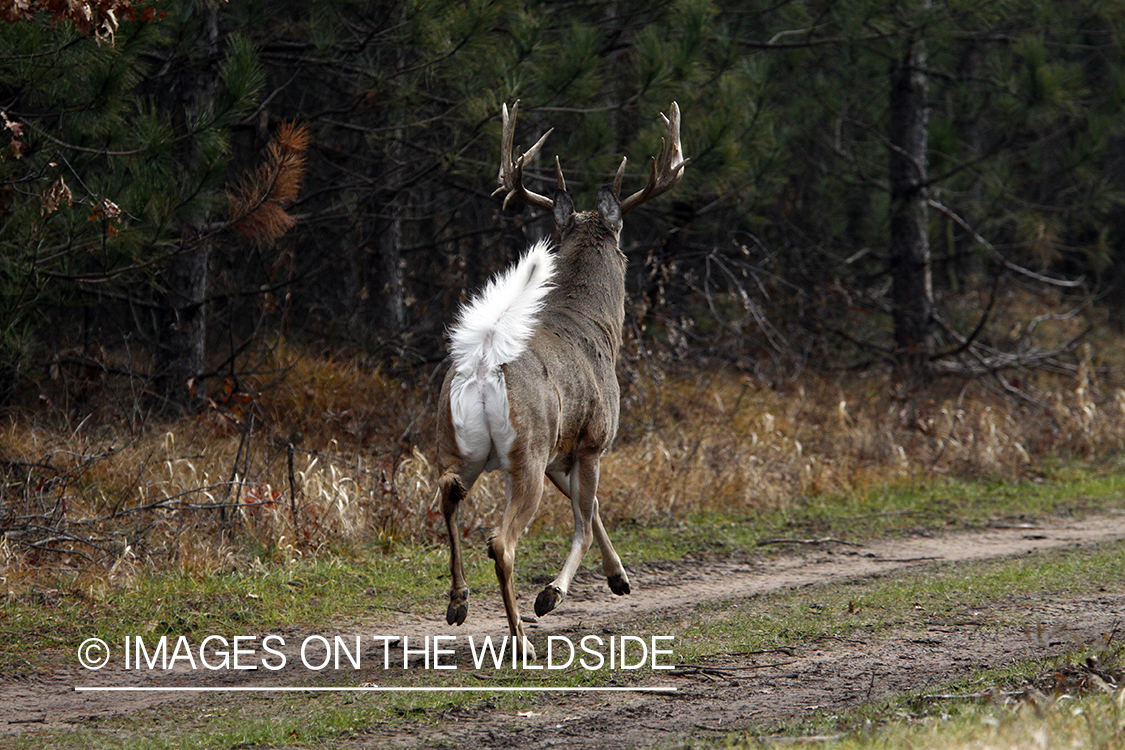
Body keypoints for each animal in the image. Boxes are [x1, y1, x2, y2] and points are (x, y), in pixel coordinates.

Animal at [435, 102, 687, 660]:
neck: (596, 324)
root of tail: (483, 364)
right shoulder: (593, 439)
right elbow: (583, 520)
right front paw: (552, 594)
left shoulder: (561, 448)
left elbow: (589, 510)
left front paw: (620, 578)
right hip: (525, 449)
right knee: (501, 542)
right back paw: (520, 639)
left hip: (465, 446)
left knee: (446, 492)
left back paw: (458, 602)